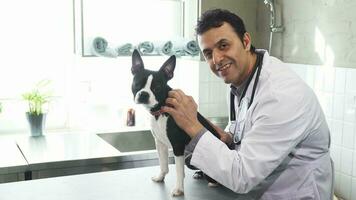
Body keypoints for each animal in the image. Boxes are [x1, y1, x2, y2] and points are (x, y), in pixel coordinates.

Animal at [131, 49, 220, 196]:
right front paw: (160, 177)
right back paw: (199, 174)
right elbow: (163, 164)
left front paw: (179, 189)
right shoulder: (160, 143)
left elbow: (178, 170)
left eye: (157, 87)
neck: (160, 111)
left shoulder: (178, 147)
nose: (143, 94)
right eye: (137, 84)